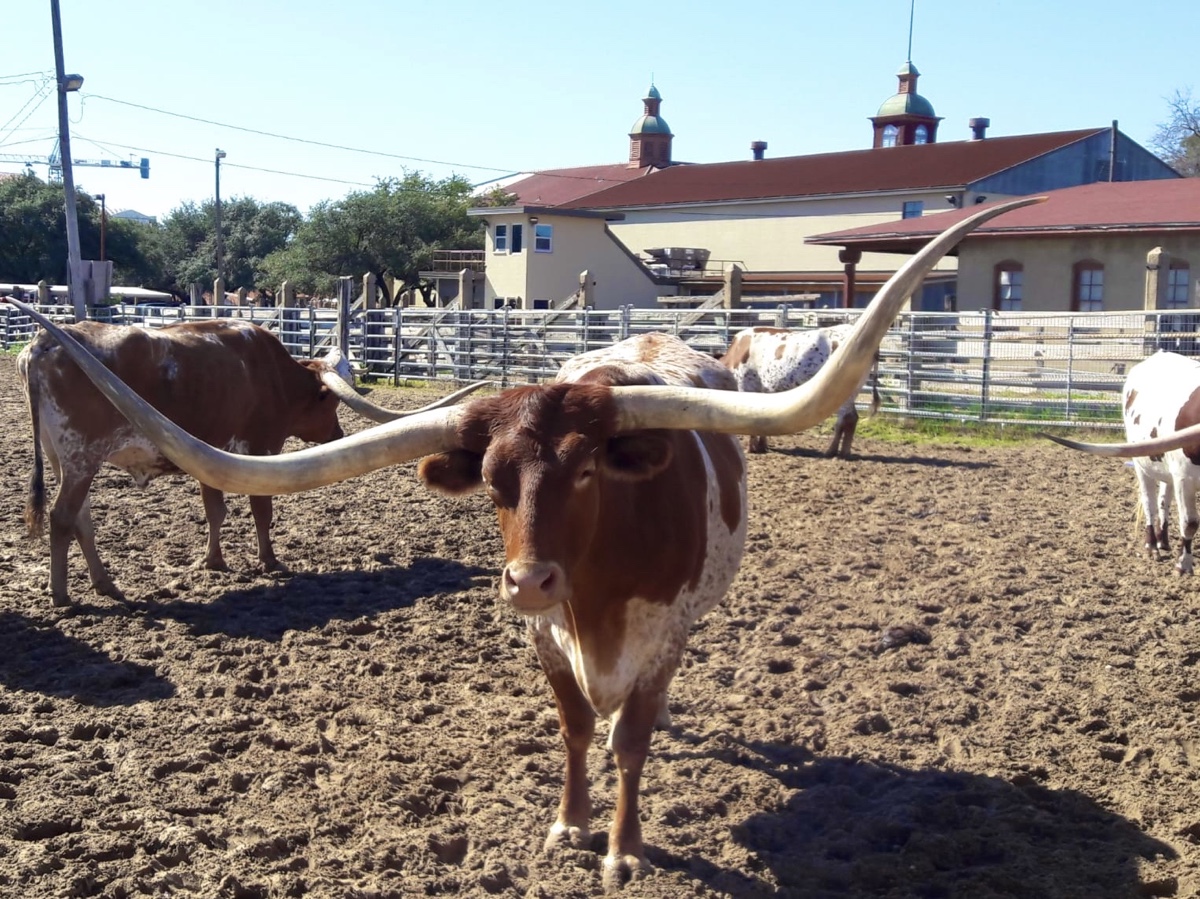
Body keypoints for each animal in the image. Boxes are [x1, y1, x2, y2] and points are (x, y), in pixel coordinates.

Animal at [16, 319, 480, 607]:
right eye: (326, 402)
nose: (337, 436)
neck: (271, 373)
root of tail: (42, 343)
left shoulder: (209, 453)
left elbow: (215, 510)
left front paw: (214, 561)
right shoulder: (260, 448)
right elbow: (261, 509)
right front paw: (269, 560)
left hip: (64, 459)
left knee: (81, 520)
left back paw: (105, 583)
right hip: (80, 458)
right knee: (62, 517)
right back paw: (62, 594)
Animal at [720, 324, 883, 456]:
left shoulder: (746, 386)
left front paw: (752, 448)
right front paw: (762, 446)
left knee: (843, 419)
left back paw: (832, 451)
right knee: (852, 418)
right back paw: (845, 451)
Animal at [1046, 350, 1200, 576]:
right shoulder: (1184, 477)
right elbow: (1190, 523)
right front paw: (1183, 564)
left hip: (1162, 463)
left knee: (1163, 500)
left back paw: (1163, 541)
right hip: (1142, 464)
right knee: (1149, 502)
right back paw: (1152, 547)